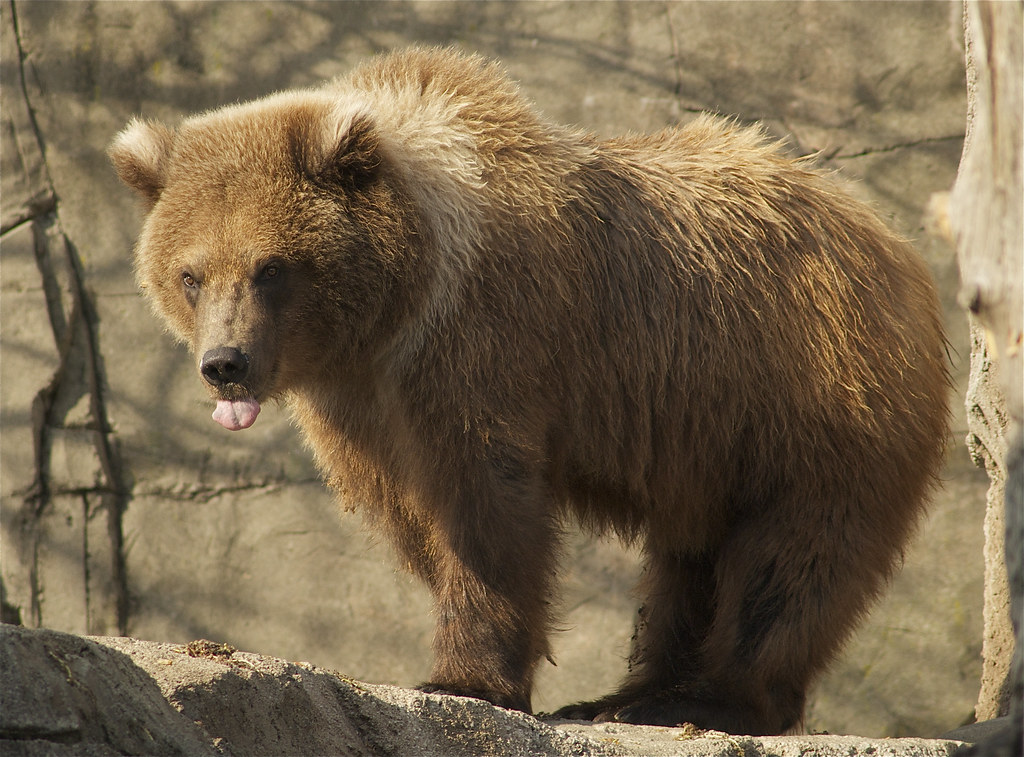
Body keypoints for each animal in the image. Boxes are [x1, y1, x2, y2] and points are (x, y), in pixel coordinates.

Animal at [108, 45, 946, 733]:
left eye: (271, 267)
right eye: (190, 273)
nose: (226, 362)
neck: (399, 306)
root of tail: (897, 247)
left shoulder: (491, 341)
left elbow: (486, 502)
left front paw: (466, 677)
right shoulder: (360, 405)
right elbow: (412, 512)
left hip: (806, 391)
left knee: (791, 556)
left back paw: (712, 697)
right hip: (711, 435)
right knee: (692, 559)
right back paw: (634, 692)